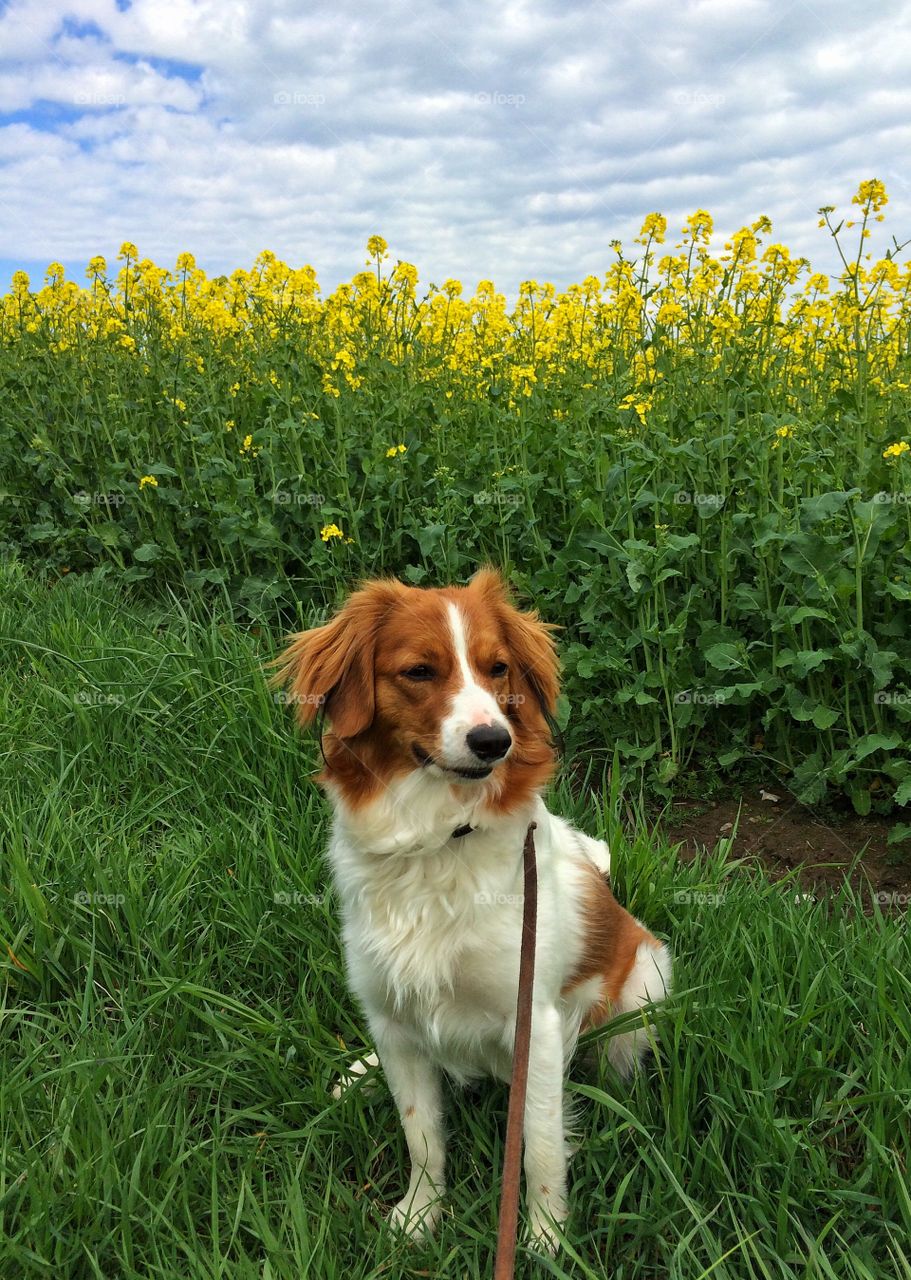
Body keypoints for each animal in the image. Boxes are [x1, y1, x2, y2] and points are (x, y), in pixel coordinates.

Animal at [269, 568, 670, 1249]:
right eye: (419, 671)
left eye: (497, 668)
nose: (493, 740)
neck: (437, 839)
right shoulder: (393, 1017)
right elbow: (422, 1134)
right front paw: (419, 1215)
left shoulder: (532, 1021)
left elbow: (538, 1145)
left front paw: (544, 1240)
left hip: (645, 985)